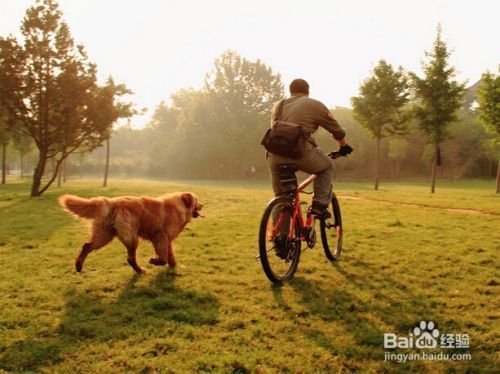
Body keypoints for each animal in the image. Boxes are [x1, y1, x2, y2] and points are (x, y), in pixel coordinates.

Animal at [59, 191, 204, 274]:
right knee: (130, 258)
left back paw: (79, 265)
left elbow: (170, 256)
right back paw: (140, 271)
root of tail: (111, 202)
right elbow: (163, 258)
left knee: (86, 246)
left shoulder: (167, 240)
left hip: (104, 236)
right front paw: (154, 261)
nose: (203, 205)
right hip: (131, 238)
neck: (178, 207)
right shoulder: (160, 236)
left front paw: (175, 266)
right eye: (197, 200)